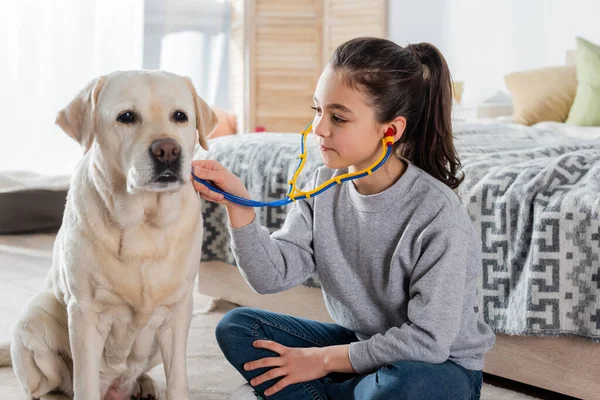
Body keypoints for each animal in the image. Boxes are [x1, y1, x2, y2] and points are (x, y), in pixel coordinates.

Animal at [0, 71, 217, 400]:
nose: (168, 150)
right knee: (53, 386)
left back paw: (142, 384)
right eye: (126, 117)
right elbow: (85, 383)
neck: (143, 223)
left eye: (180, 116)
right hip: (34, 316)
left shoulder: (179, 310)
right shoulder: (85, 312)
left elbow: (178, 379)